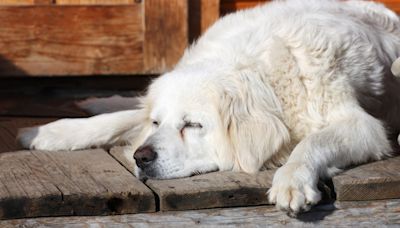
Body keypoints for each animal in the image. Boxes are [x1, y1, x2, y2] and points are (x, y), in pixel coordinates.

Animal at [15, 0, 400, 216]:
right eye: (158, 124)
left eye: (193, 125)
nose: (141, 158)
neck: (262, 75)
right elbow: (119, 120)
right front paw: (48, 132)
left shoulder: (364, 126)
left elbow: (312, 142)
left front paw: (292, 180)